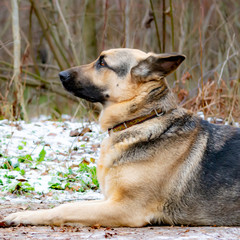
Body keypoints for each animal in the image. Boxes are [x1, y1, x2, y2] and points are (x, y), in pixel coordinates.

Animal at [3, 47, 240, 226]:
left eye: (102, 62)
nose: (61, 75)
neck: (141, 119)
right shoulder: (110, 200)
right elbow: (70, 204)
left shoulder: (125, 207)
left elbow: (65, 208)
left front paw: (23, 216)